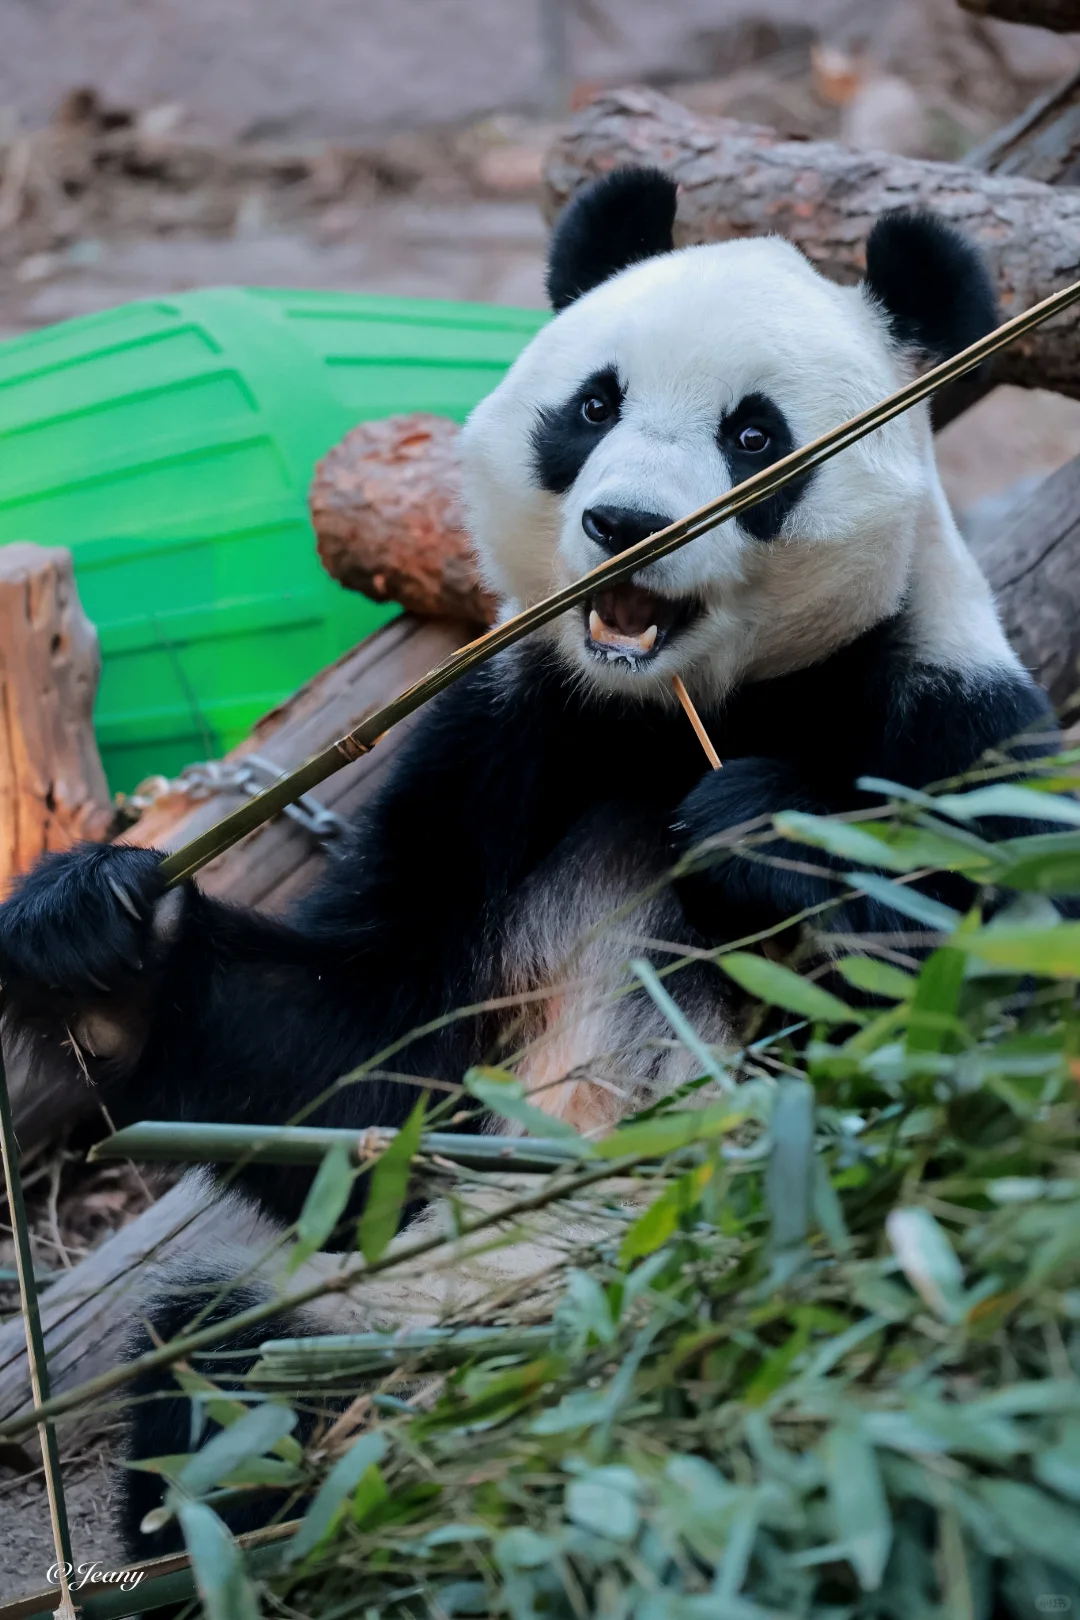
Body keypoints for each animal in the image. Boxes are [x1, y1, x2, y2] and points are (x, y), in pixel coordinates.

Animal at [0, 167, 1055, 1555]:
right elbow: (366, 1068)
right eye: (594, 405)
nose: (626, 525)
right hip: (379, 1299)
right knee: (221, 1372)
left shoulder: (950, 723)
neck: (683, 709)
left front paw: (766, 832)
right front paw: (93, 942)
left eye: (754, 436)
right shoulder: (506, 738)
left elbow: (998, 1023)